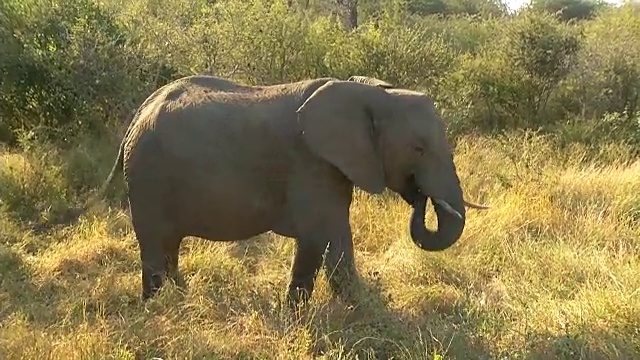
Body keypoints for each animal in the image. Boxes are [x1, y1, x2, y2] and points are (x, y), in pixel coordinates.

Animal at [74, 73, 484, 306]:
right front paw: (300, 317)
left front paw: (363, 312)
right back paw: (155, 311)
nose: (420, 197)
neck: (368, 91)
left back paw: (182, 300)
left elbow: (338, 241)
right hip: (147, 175)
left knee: (168, 244)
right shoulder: (311, 164)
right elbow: (319, 238)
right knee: (153, 244)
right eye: (419, 149)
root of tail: (138, 115)